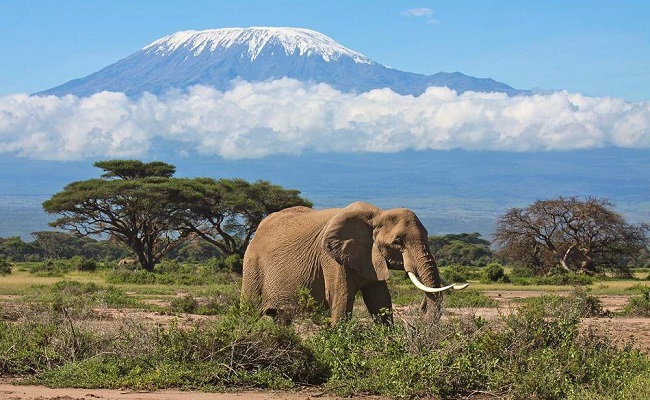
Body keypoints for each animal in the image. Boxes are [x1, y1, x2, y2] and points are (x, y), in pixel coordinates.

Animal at [240, 202, 464, 324]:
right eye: (398, 242)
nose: (422, 308)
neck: (377, 215)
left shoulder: (370, 258)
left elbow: (380, 302)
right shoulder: (331, 259)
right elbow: (341, 300)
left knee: (281, 318)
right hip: (252, 265)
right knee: (249, 312)